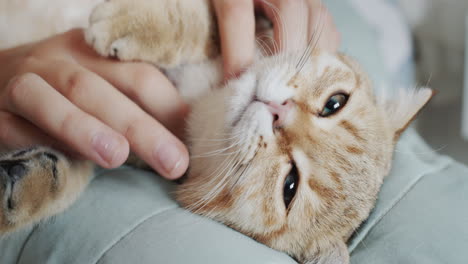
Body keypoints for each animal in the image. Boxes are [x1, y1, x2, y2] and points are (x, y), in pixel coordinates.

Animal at [0, 0, 436, 264]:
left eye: (290, 186)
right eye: (335, 103)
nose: (279, 113)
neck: (200, 101)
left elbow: (87, 158)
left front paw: (28, 185)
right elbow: (205, 22)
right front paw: (138, 23)